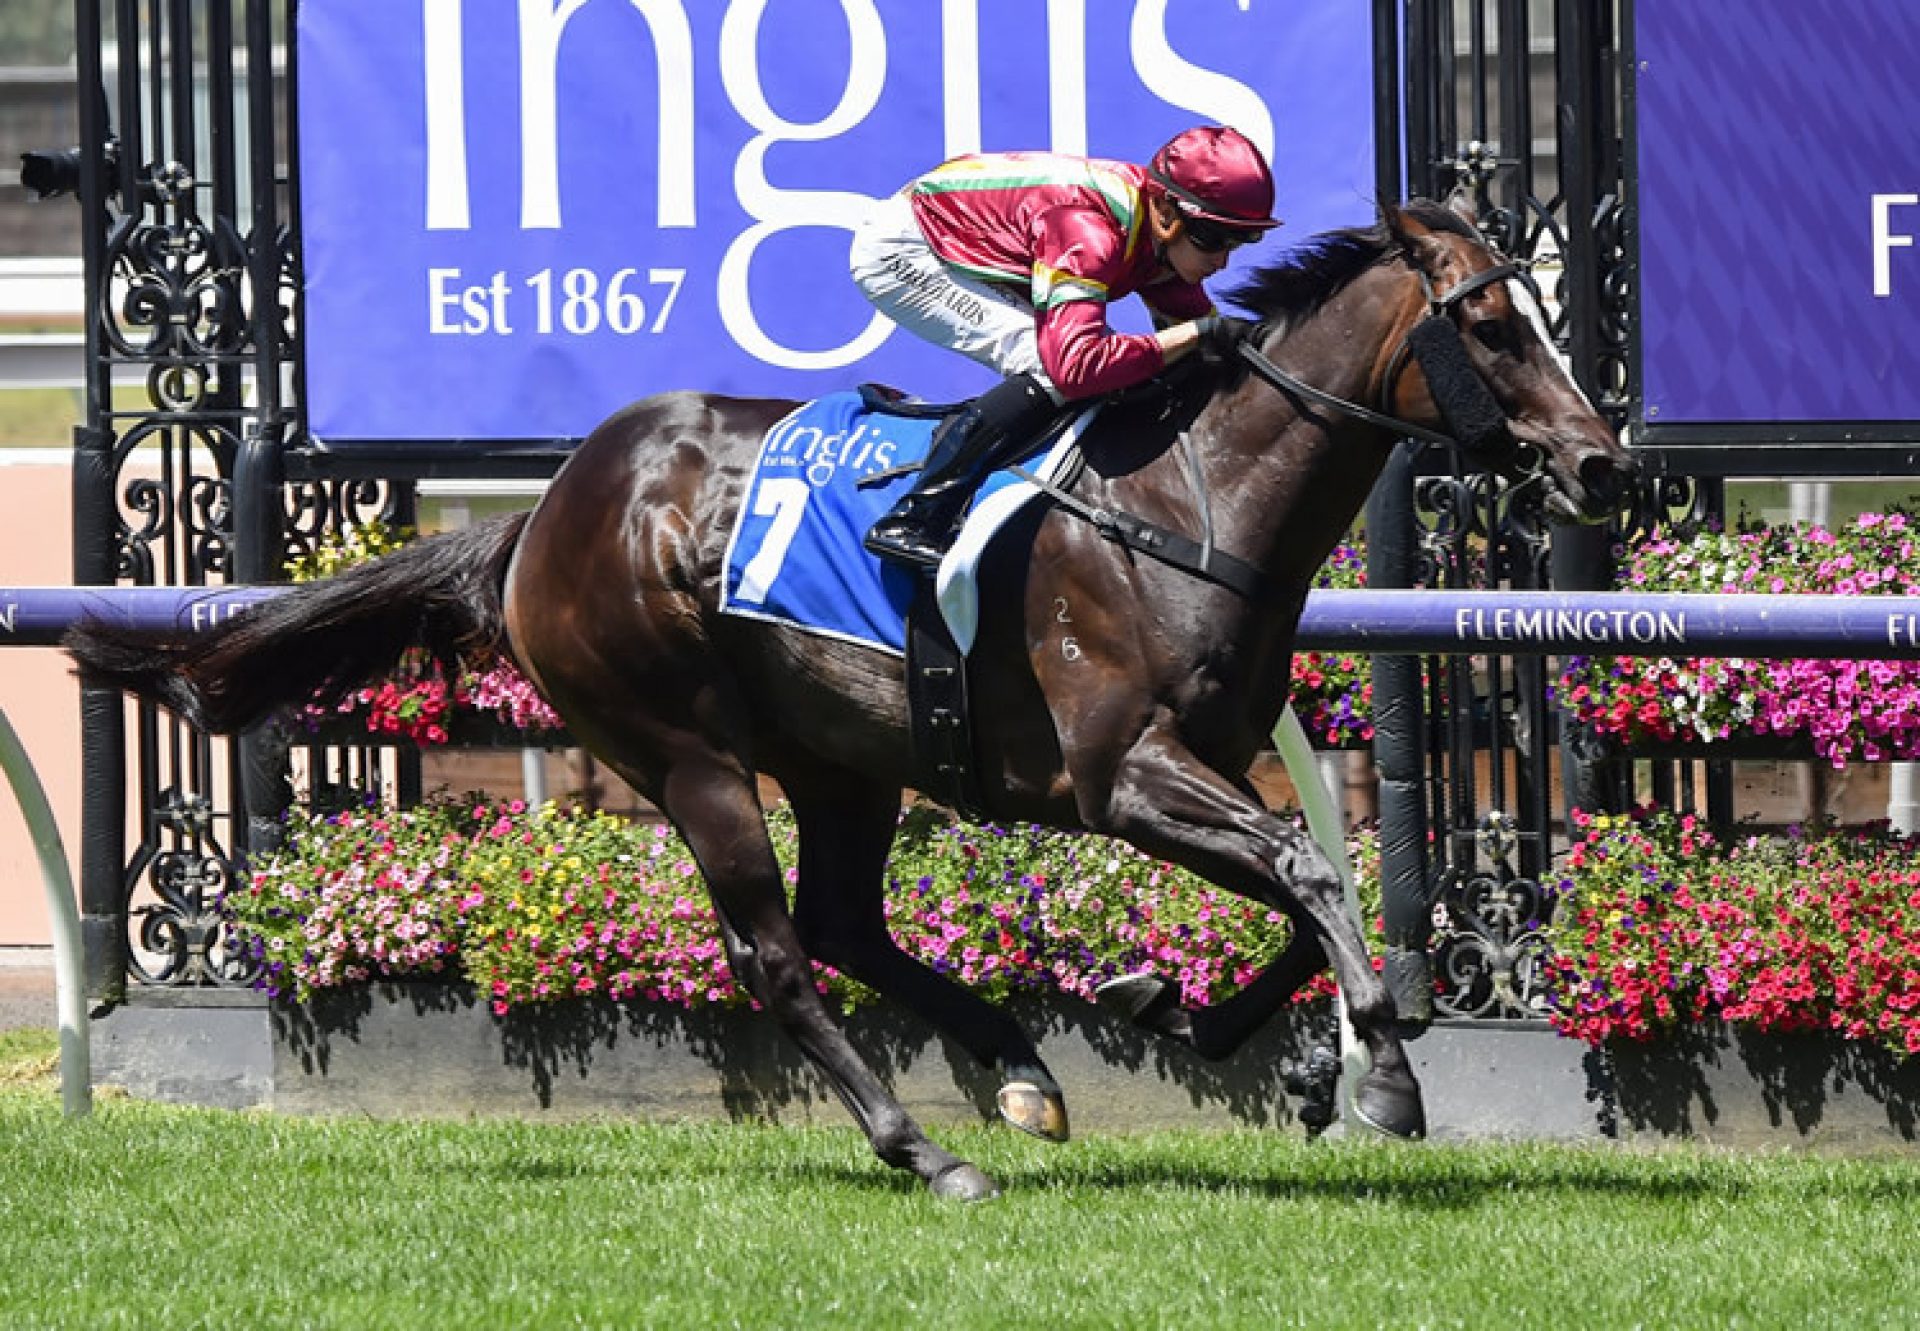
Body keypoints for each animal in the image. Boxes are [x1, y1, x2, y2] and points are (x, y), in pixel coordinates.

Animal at [71, 194, 1635, 1190]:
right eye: (1495, 326)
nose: (1602, 462)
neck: (1186, 500)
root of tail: (547, 512)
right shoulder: (1121, 771)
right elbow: (1310, 866)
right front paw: (1383, 1075)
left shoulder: (1211, 756)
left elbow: (1314, 884)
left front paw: (1227, 1030)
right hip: (687, 750)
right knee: (777, 953)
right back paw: (925, 1147)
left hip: (844, 753)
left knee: (840, 920)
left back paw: (1017, 1065)